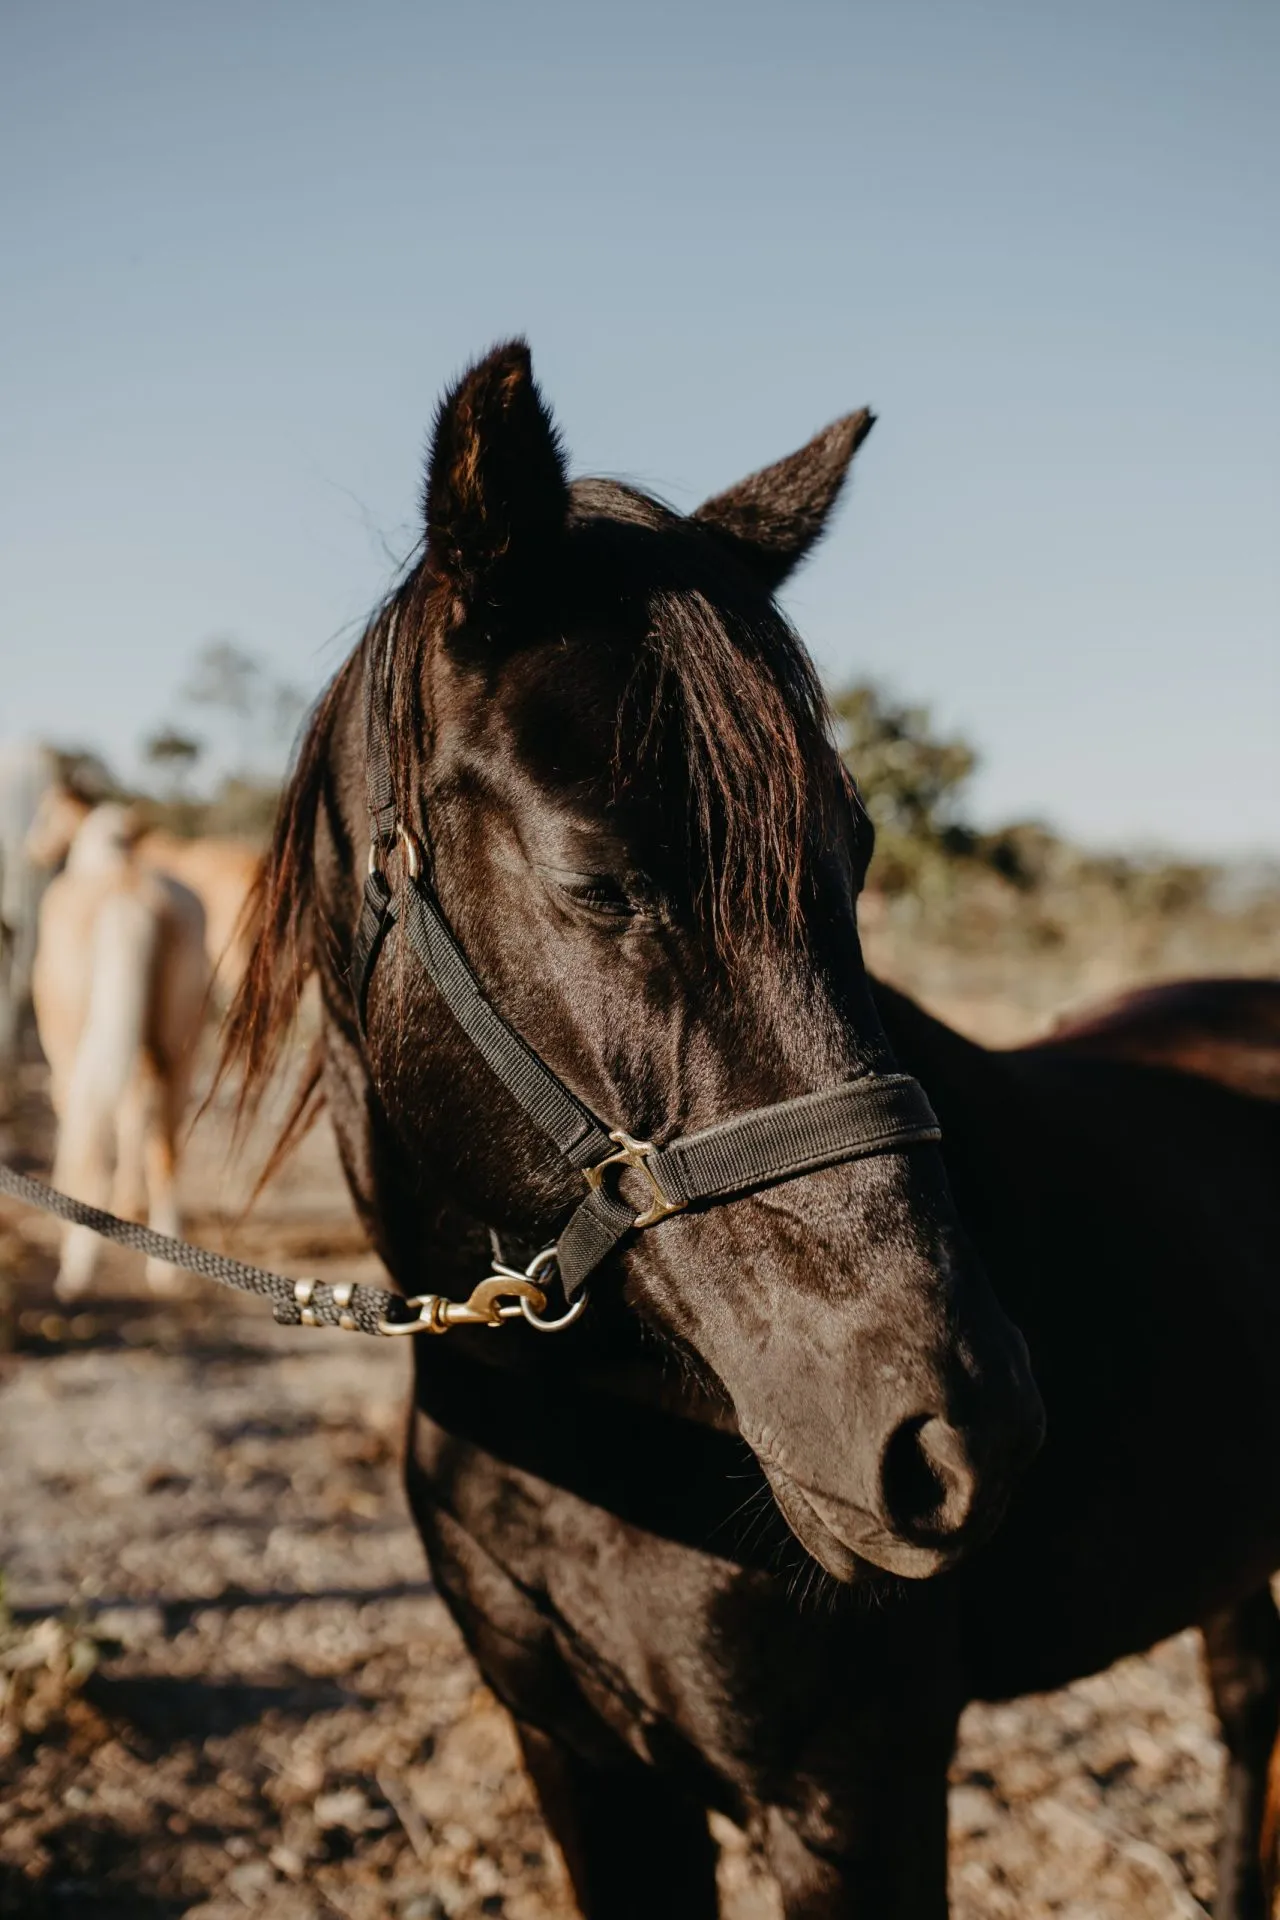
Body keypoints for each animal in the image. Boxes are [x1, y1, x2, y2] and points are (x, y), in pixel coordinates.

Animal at [28, 797, 209, 1296]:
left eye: (45, 815)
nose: (33, 851)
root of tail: (129, 896)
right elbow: (133, 1120)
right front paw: (129, 1205)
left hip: (75, 1055)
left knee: (91, 1144)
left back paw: (77, 1264)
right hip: (178, 1054)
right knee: (165, 1147)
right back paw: (165, 1268)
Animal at [224, 341, 1278, 1918]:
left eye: (858, 854)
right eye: (596, 880)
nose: (965, 1438)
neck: (583, 1426)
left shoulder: (851, 1798)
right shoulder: (584, 1770)